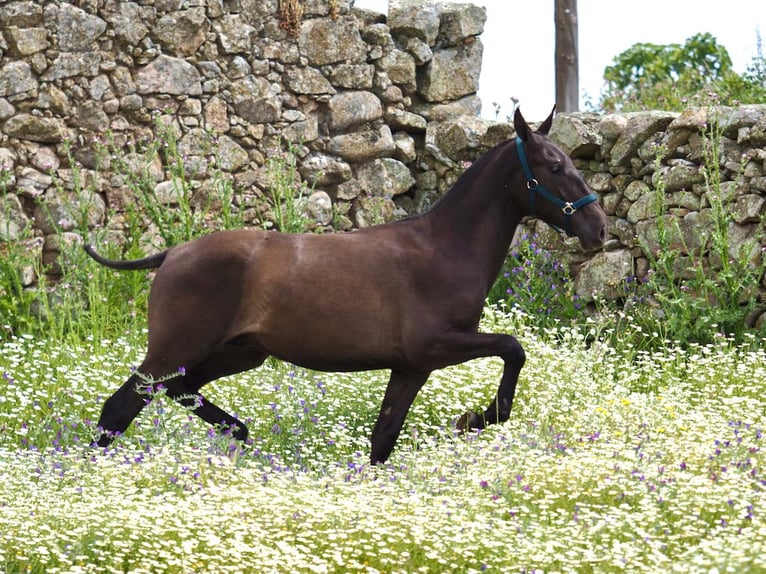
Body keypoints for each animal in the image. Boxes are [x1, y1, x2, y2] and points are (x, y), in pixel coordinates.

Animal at [84, 108, 608, 466]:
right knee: (121, 406)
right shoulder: (437, 345)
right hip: (176, 349)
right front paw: (476, 419)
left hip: (240, 353)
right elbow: (514, 347)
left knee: (180, 389)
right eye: (554, 166)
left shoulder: (411, 367)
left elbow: (383, 437)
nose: (599, 228)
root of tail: (172, 254)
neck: (444, 248)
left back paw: (239, 431)